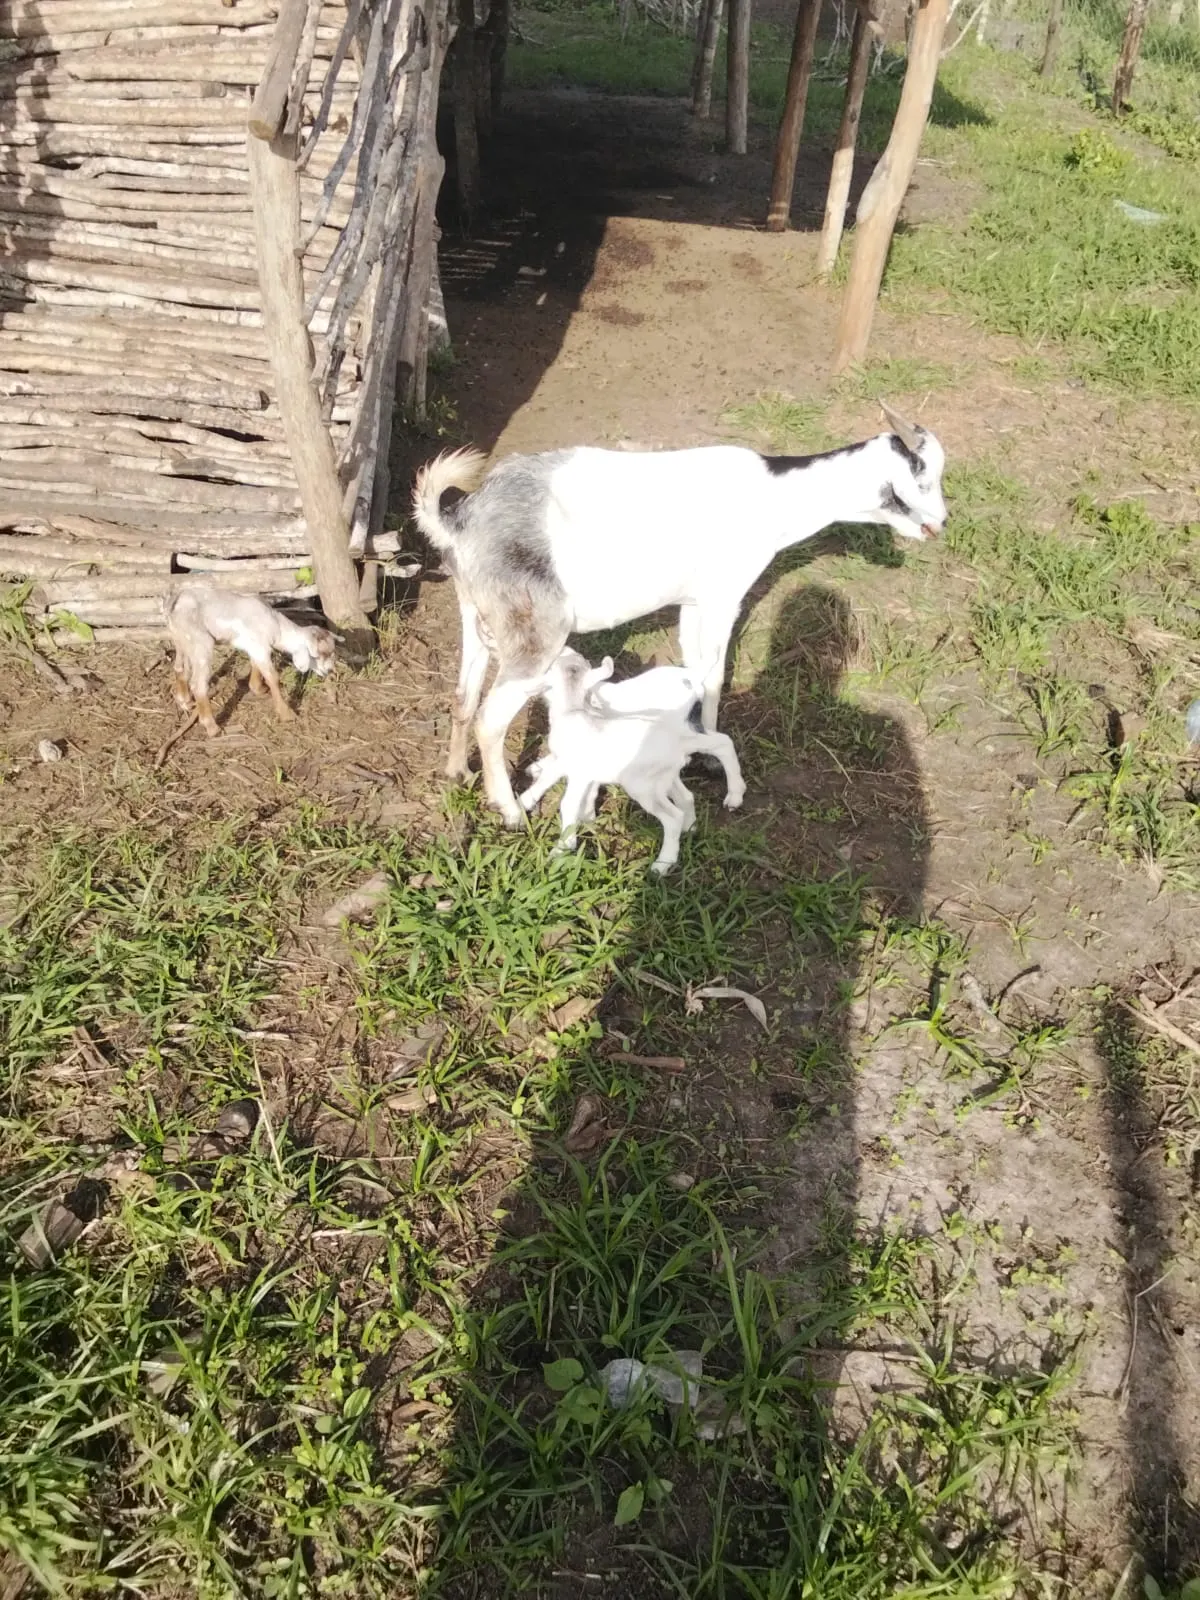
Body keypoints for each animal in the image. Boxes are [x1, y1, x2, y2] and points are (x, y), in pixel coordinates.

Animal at [165, 583, 337, 737]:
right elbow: (273, 677)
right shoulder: (261, 646)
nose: (329, 670)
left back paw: (185, 701)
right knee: (198, 684)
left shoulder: (254, 646)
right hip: (201, 642)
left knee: (180, 668)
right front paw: (286, 713)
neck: (278, 627)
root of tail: (175, 601)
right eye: (322, 653)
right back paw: (212, 727)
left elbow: (256, 666)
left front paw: (257, 688)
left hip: (181, 639)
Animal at [412, 405, 946, 826]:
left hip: (477, 612)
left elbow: (695, 668)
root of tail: (462, 520)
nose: (940, 523)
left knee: (463, 695)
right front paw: (709, 757)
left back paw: (456, 772)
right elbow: (714, 674)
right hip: (536, 629)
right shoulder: (724, 594)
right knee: (491, 718)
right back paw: (508, 810)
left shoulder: (692, 601)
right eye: (922, 472)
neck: (777, 498)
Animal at [520, 648, 745, 874]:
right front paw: (588, 816)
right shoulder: (588, 767)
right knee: (686, 795)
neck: (574, 710)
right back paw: (689, 828)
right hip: (667, 766)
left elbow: (562, 793)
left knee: (720, 746)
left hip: (649, 776)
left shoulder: (574, 764)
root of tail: (692, 676)